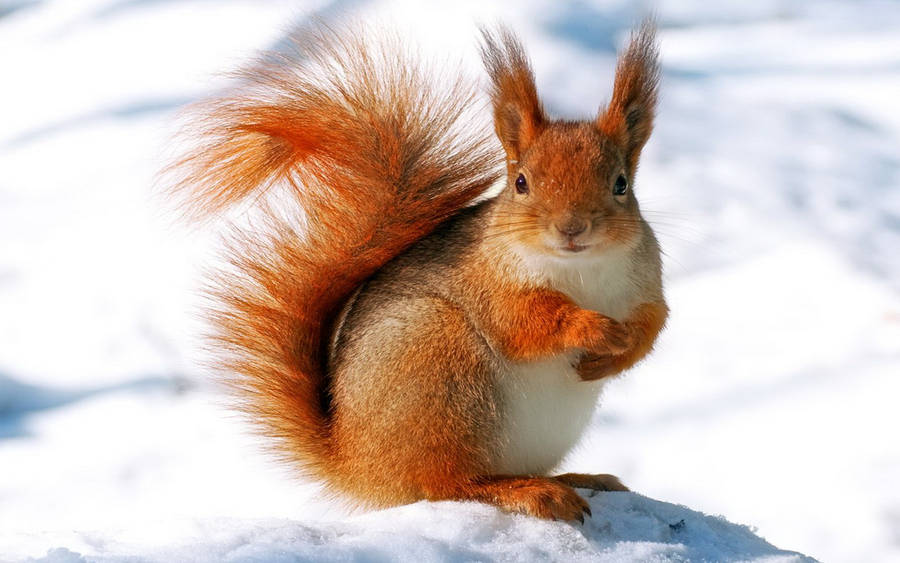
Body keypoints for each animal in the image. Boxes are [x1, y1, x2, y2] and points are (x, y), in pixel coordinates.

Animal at [169, 20, 667, 522]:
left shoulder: (647, 282)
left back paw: (576, 478)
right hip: (439, 367)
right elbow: (522, 322)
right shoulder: (489, 281)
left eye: (621, 184)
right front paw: (596, 329)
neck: (581, 269)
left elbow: (653, 323)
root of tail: (355, 461)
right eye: (521, 182)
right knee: (446, 482)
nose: (572, 228)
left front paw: (619, 351)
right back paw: (528, 491)